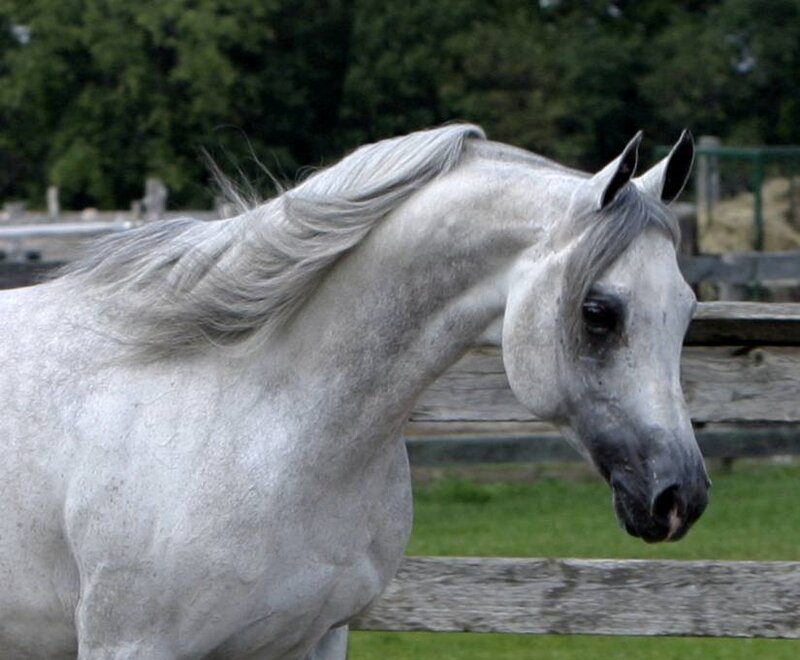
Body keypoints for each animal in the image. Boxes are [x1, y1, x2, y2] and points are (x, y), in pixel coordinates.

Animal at [0, 124, 709, 659]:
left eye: (686, 307)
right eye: (599, 312)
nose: (682, 498)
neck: (261, 417)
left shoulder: (315, 638)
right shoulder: (132, 645)